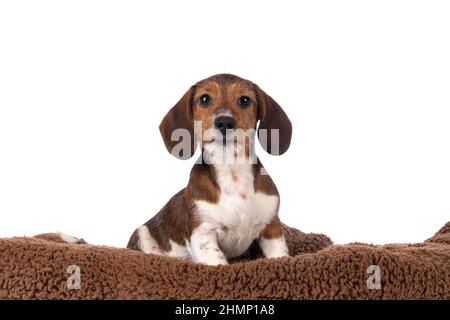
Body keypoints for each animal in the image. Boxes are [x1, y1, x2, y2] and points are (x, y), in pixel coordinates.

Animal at [128, 73, 294, 264]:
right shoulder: (203, 232)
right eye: (205, 99)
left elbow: (279, 256)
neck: (231, 169)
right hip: (141, 234)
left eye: (244, 100)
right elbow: (218, 261)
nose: (224, 122)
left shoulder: (271, 228)